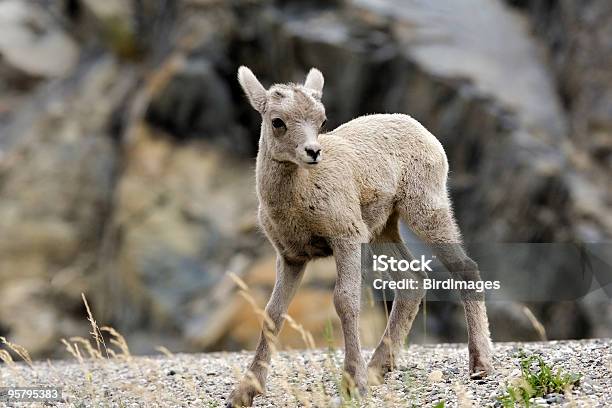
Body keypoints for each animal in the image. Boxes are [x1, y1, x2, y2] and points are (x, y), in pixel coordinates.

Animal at [226, 65, 492, 406]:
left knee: (464, 268)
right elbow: (273, 312)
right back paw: (379, 368)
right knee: (411, 282)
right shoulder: (291, 258)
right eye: (278, 122)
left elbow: (345, 302)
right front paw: (244, 393)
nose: (313, 152)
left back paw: (480, 365)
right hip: (383, 229)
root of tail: (424, 132)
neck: (298, 197)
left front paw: (354, 383)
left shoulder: (346, 239)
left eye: (322, 120)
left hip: (424, 211)